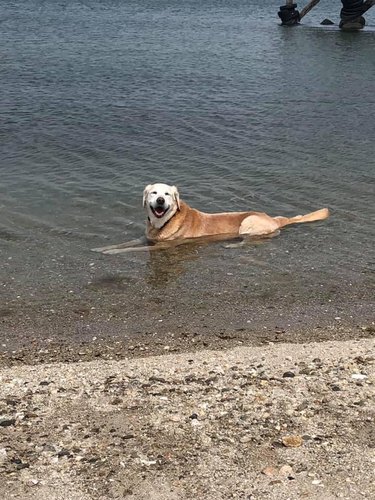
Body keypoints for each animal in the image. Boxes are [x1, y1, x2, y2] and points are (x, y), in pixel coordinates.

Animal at [93, 182, 328, 254]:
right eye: (153, 193)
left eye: (167, 194)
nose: (159, 201)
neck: (163, 223)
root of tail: (276, 218)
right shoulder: (148, 238)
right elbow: (127, 242)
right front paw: (102, 248)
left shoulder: (163, 246)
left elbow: (132, 249)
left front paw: (112, 253)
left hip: (248, 222)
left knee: (248, 240)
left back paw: (232, 245)